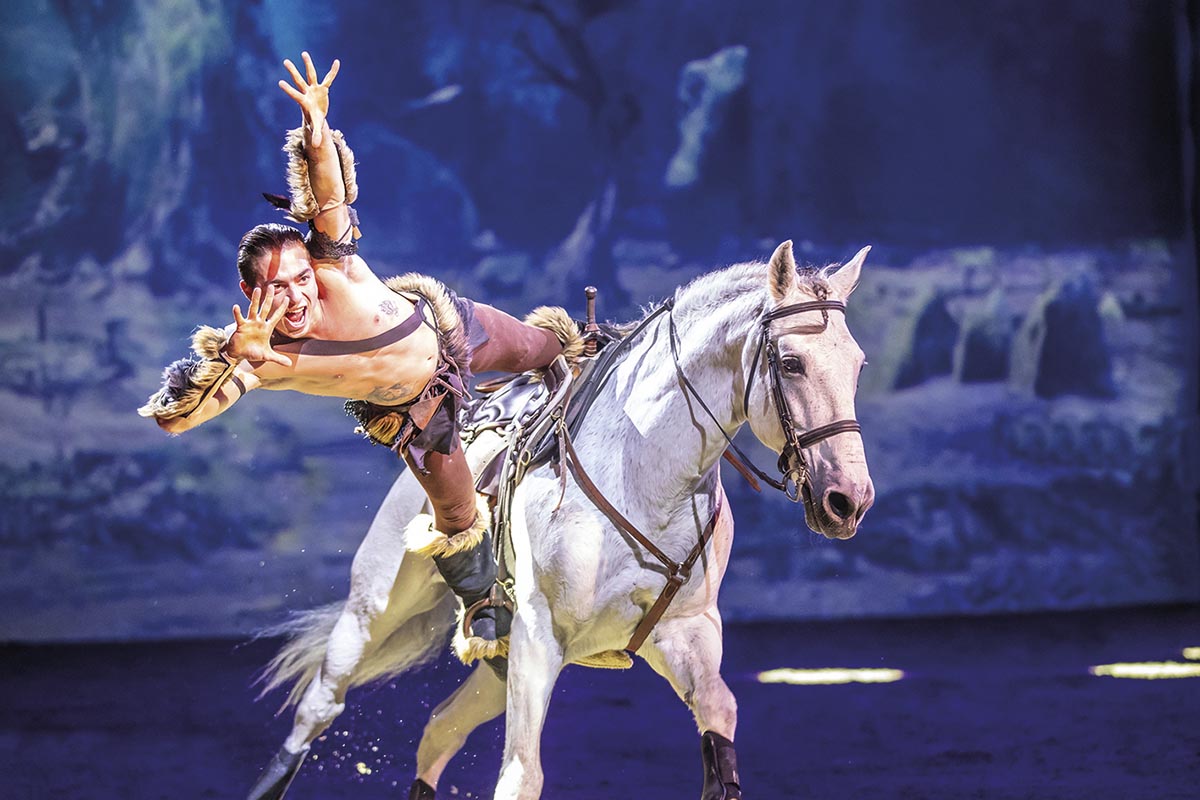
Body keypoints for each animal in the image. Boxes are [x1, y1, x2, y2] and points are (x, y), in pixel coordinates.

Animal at [246, 239, 875, 800]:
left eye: (859, 365)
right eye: (791, 362)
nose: (848, 500)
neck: (644, 478)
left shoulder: (685, 633)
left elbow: (720, 718)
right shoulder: (536, 633)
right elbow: (521, 777)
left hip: (495, 661)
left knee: (439, 731)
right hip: (376, 608)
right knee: (319, 708)